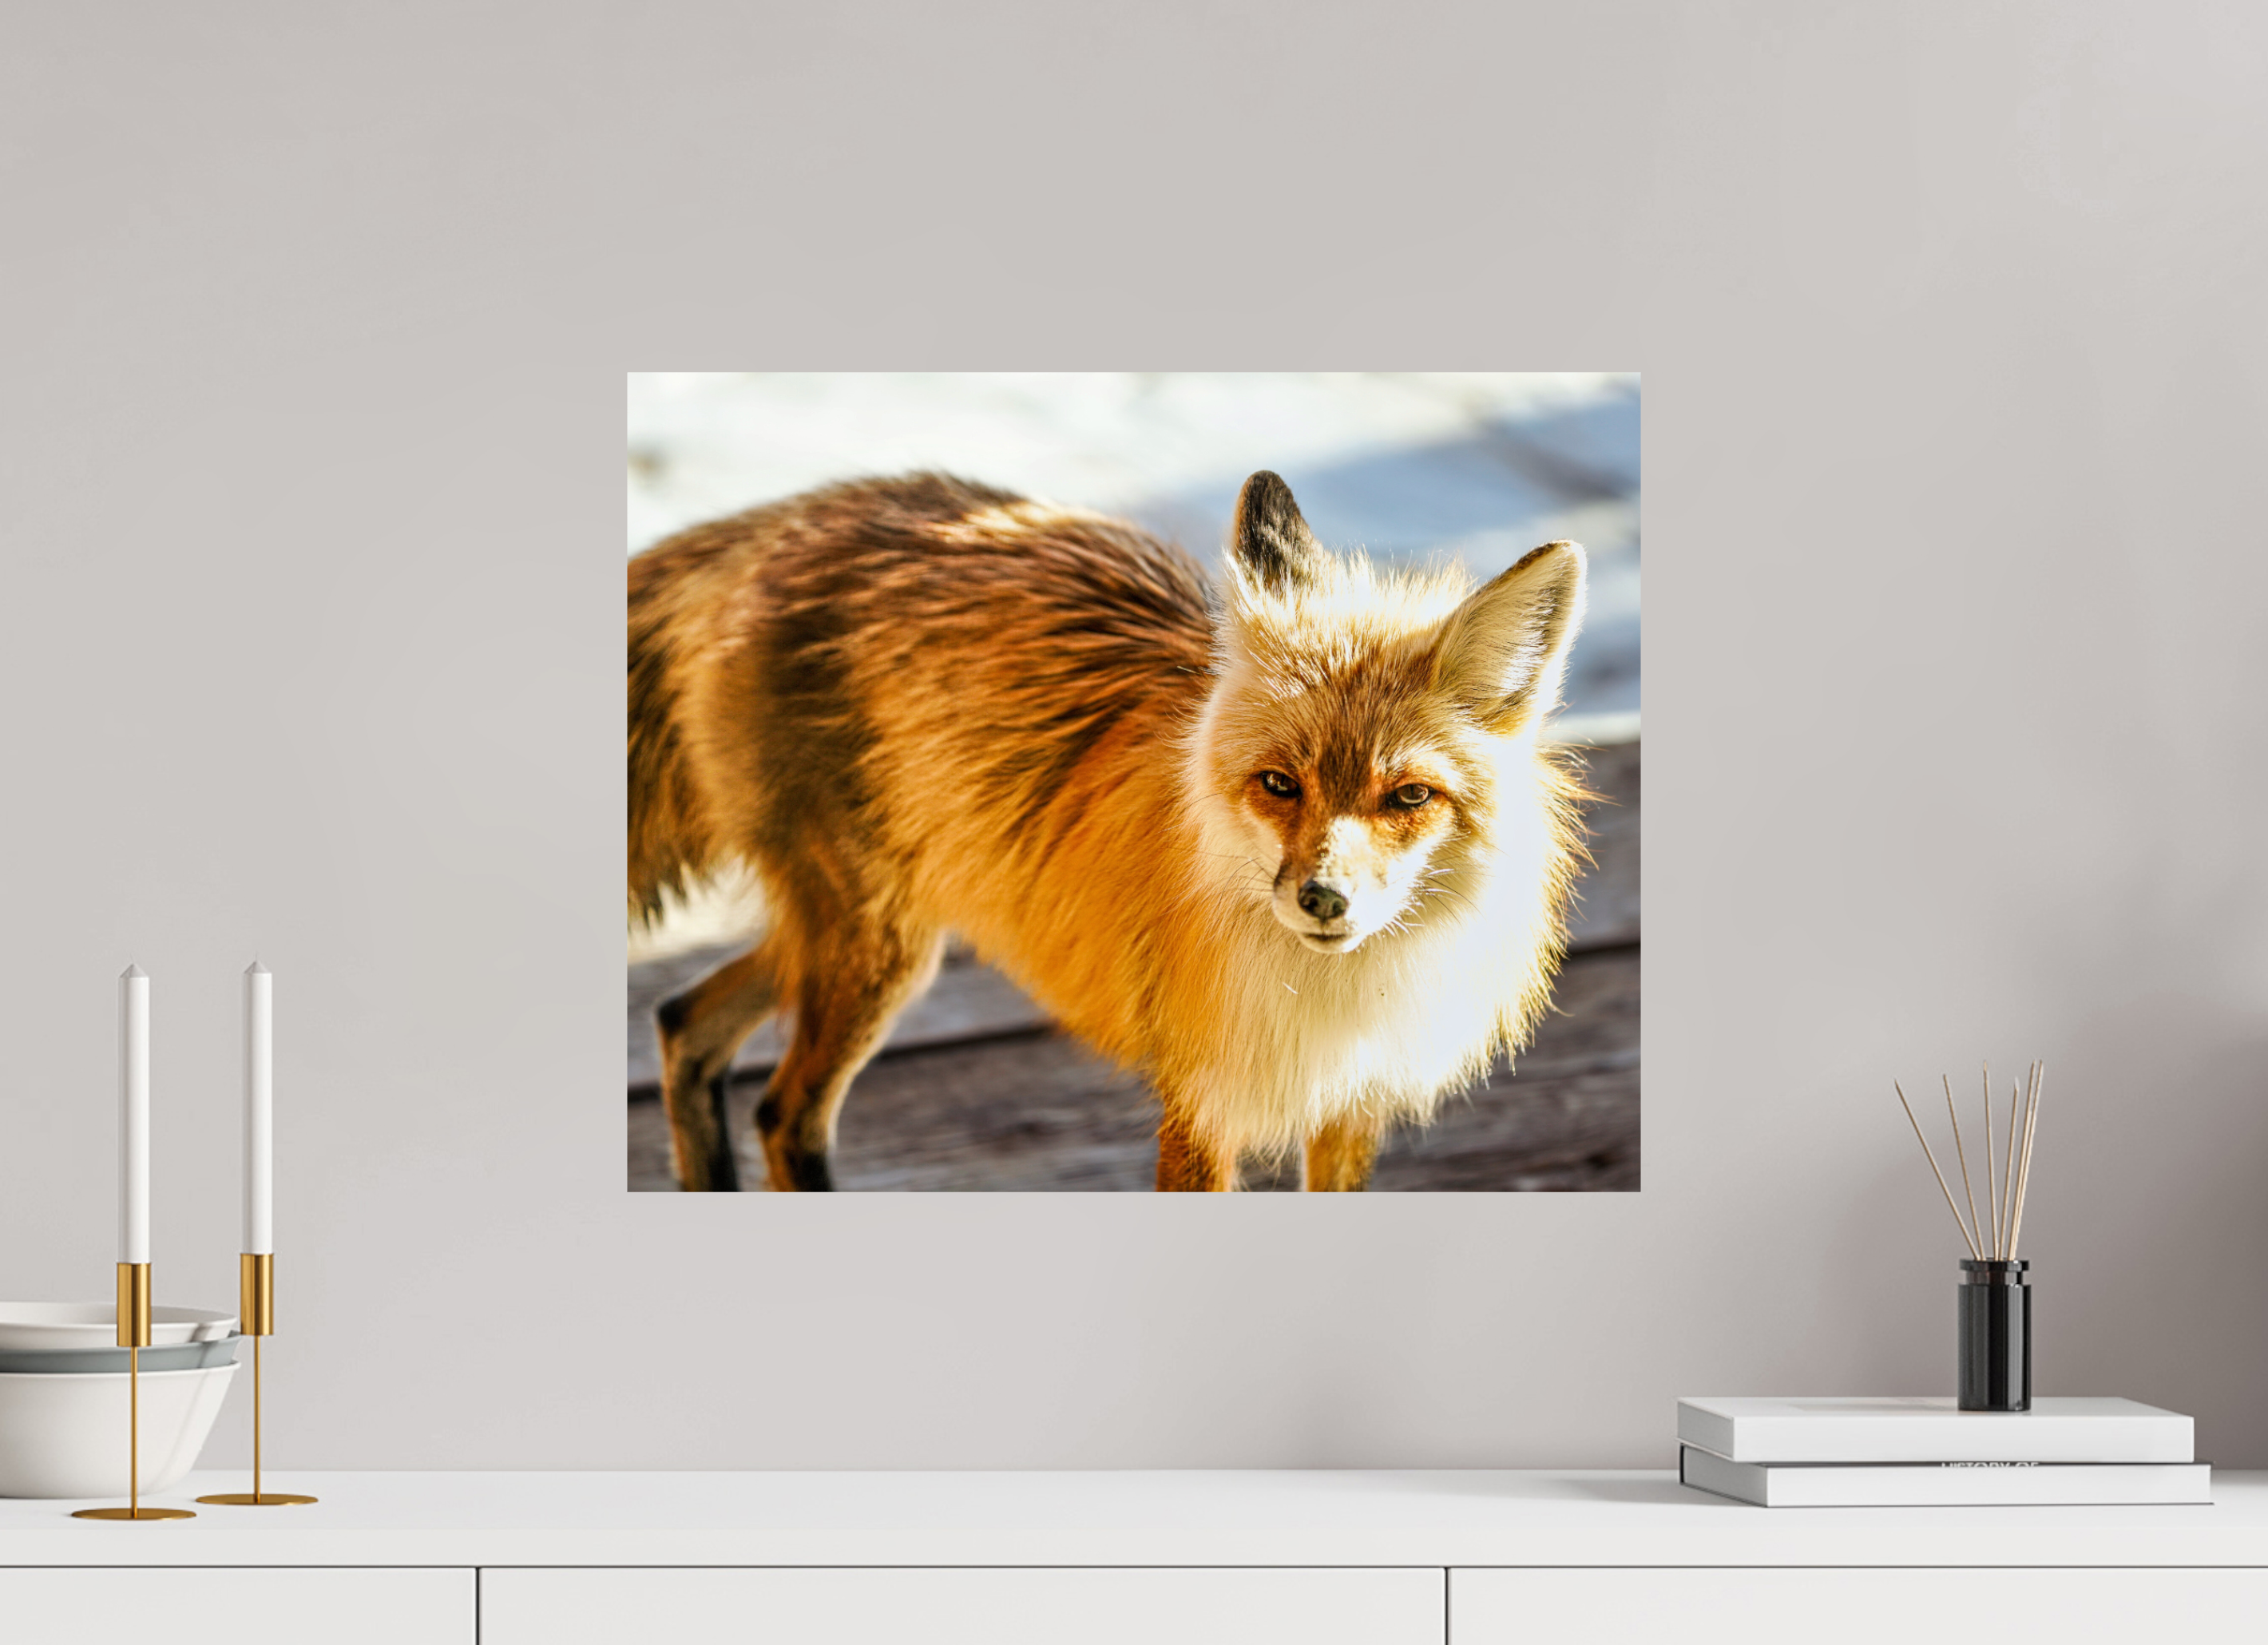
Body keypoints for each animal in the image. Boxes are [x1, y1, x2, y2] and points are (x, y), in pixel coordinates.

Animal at [628, 469, 1589, 1191]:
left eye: (1409, 796)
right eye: (1279, 785)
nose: (1323, 898)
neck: (1332, 1000)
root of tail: (792, 515)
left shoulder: (1349, 1111)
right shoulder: (1200, 1105)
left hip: (859, 935)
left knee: (683, 1021)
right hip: (876, 948)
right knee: (782, 1114)